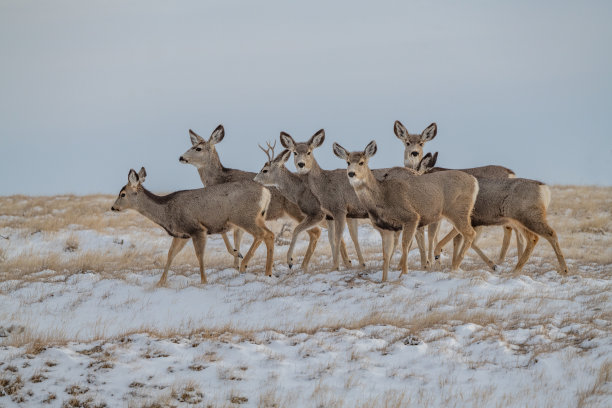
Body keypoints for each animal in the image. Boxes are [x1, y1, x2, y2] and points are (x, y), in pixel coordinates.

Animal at [110, 167, 274, 286]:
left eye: (122, 194)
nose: (113, 207)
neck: (166, 211)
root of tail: (266, 192)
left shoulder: (197, 229)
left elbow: (199, 255)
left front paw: (203, 281)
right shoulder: (182, 234)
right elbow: (170, 255)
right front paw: (160, 282)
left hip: (245, 217)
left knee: (263, 234)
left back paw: (245, 264)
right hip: (257, 217)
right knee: (269, 235)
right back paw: (268, 272)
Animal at [179, 124, 318, 270]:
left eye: (198, 148)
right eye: (192, 145)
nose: (181, 157)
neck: (219, 180)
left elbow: (226, 234)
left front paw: (237, 255)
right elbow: (236, 237)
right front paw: (236, 263)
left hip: (299, 212)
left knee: (315, 232)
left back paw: (298, 264)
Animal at [332, 142, 480, 282]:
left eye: (362, 162)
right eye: (348, 162)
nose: (351, 173)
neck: (382, 197)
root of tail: (474, 181)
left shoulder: (411, 217)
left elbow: (405, 245)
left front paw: (403, 273)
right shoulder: (385, 228)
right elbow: (386, 254)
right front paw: (384, 280)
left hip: (458, 210)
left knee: (470, 233)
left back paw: (455, 265)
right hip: (456, 212)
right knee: (464, 230)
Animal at [392, 118, 520, 264]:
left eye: (421, 143)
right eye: (407, 142)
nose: (414, 153)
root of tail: (511, 174)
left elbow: (430, 235)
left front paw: (431, 262)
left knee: (511, 229)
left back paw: (502, 261)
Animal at [416, 155, 568, 276]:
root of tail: (545, 190)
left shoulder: (466, 219)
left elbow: (453, 240)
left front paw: (448, 264)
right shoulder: (472, 221)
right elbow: (458, 241)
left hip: (530, 216)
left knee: (548, 234)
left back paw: (563, 269)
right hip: (520, 220)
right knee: (531, 238)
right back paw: (516, 269)